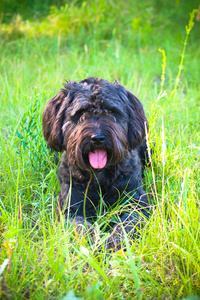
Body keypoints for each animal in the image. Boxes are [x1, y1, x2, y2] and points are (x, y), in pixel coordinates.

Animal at [42, 78, 152, 248]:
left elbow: (128, 223)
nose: (98, 138)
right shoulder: (72, 208)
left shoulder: (135, 203)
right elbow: (80, 227)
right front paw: (94, 241)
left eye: (112, 111)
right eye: (81, 112)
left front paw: (116, 241)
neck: (100, 175)